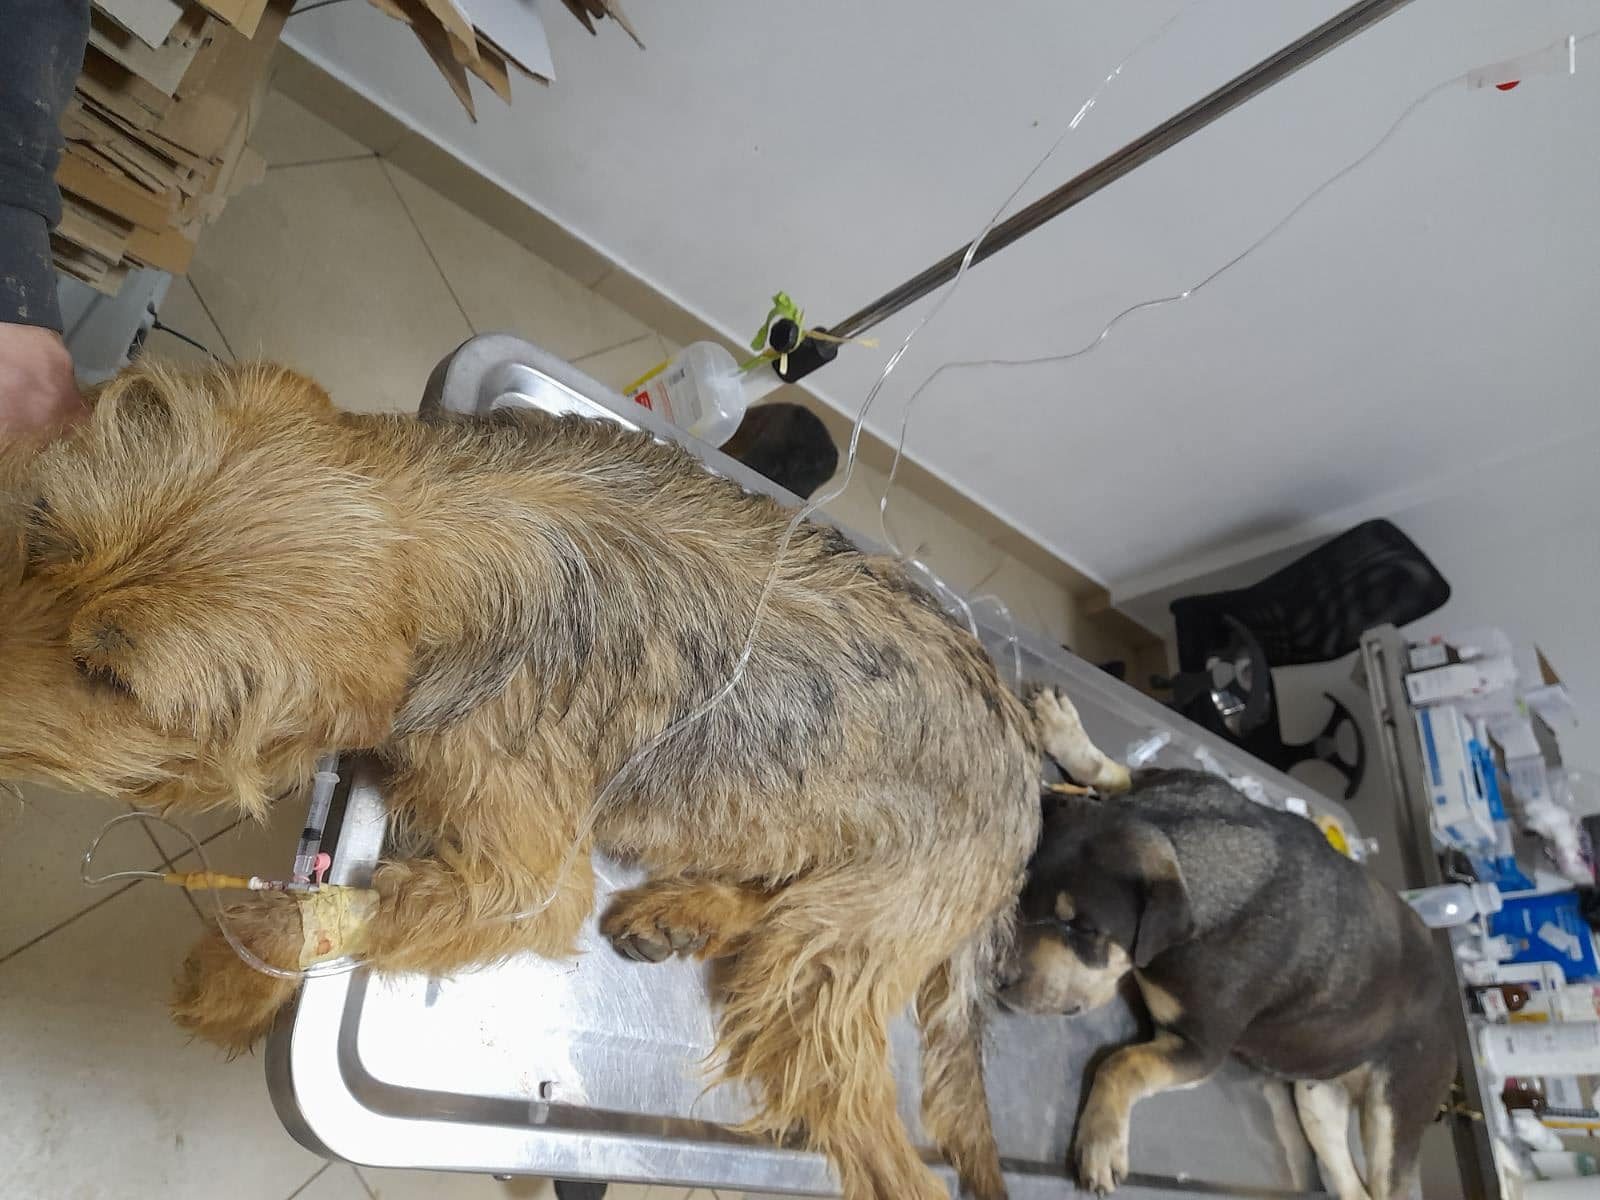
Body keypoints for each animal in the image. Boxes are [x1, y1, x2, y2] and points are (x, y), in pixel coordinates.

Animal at [0, 360, 1043, 1200]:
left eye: (111, 679)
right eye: (39, 533)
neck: (432, 529)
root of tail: (1028, 788)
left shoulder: (528, 866)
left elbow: (391, 905)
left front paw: (239, 970)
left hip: (836, 961)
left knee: (883, 1137)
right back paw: (692, 908)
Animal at [1006, 690, 1456, 1200]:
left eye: (1084, 931)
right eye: (1022, 889)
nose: (999, 978)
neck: (1185, 850)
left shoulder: (1200, 1048)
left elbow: (1123, 1062)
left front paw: (1101, 1142)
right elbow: (1111, 770)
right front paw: (1064, 730)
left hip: (1395, 1114)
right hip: (1316, 1097)